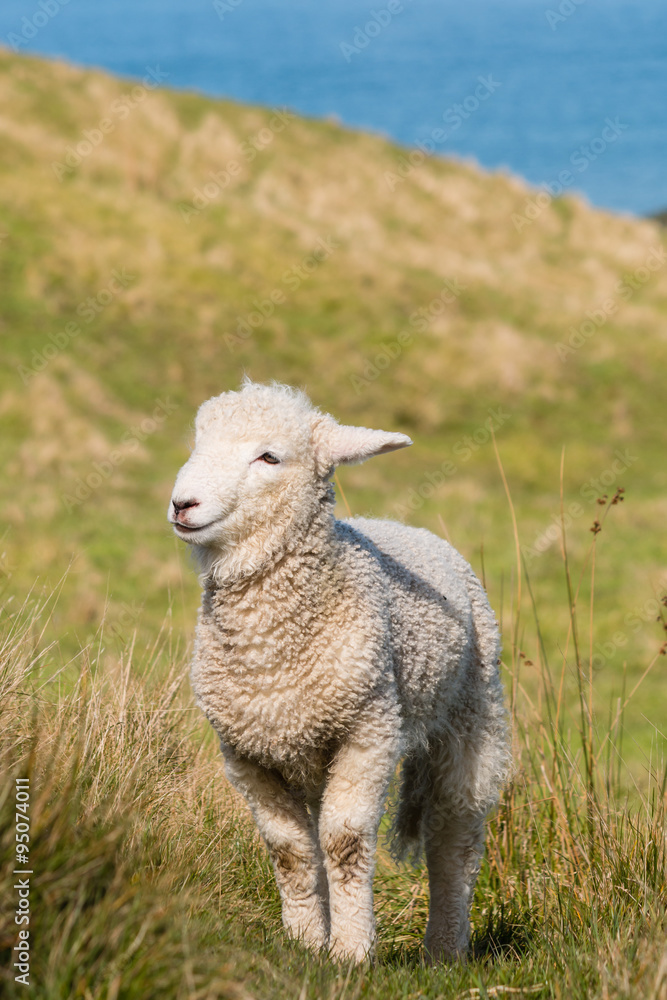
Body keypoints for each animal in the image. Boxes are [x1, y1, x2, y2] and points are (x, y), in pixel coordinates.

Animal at [168, 379, 509, 964]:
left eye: (269, 456)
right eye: (199, 442)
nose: (182, 504)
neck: (270, 651)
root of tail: (403, 526)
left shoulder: (368, 731)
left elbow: (345, 841)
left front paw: (351, 953)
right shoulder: (246, 752)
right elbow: (290, 850)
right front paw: (306, 945)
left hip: (471, 719)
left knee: (455, 837)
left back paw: (444, 950)